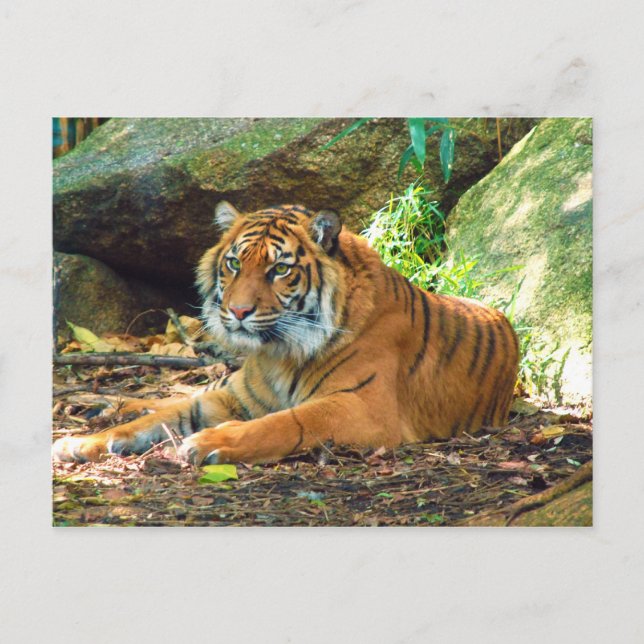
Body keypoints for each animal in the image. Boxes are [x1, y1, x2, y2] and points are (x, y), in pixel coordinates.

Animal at [53, 202, 519, 465]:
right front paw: (81, 443)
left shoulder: (363, 407)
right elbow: (160, 417)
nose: (238, 311)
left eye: (279, 269)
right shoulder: (233, 397)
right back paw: (108, 406)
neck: (279, 352)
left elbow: (284, 422)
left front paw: (209, 443)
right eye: (234, 264)